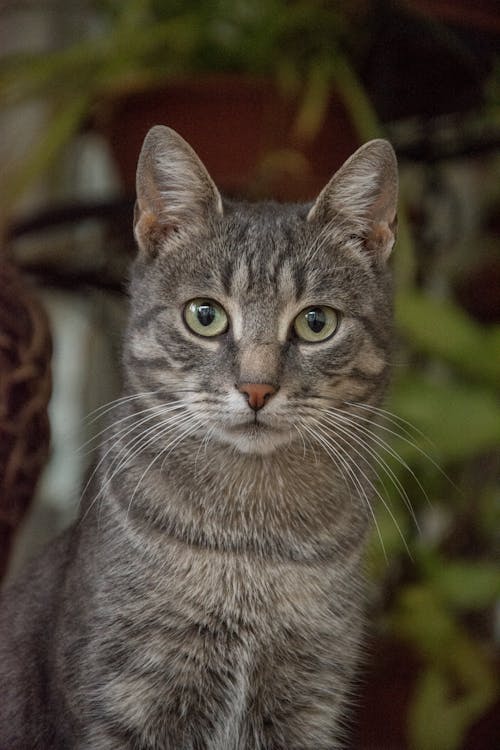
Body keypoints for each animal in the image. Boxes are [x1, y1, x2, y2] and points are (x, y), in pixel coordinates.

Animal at [0, 126, 398, 748]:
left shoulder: (310, 701)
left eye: (316, 323)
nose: (257, 388)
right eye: (205, 315)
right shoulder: (127, 698)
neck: (252, 547)